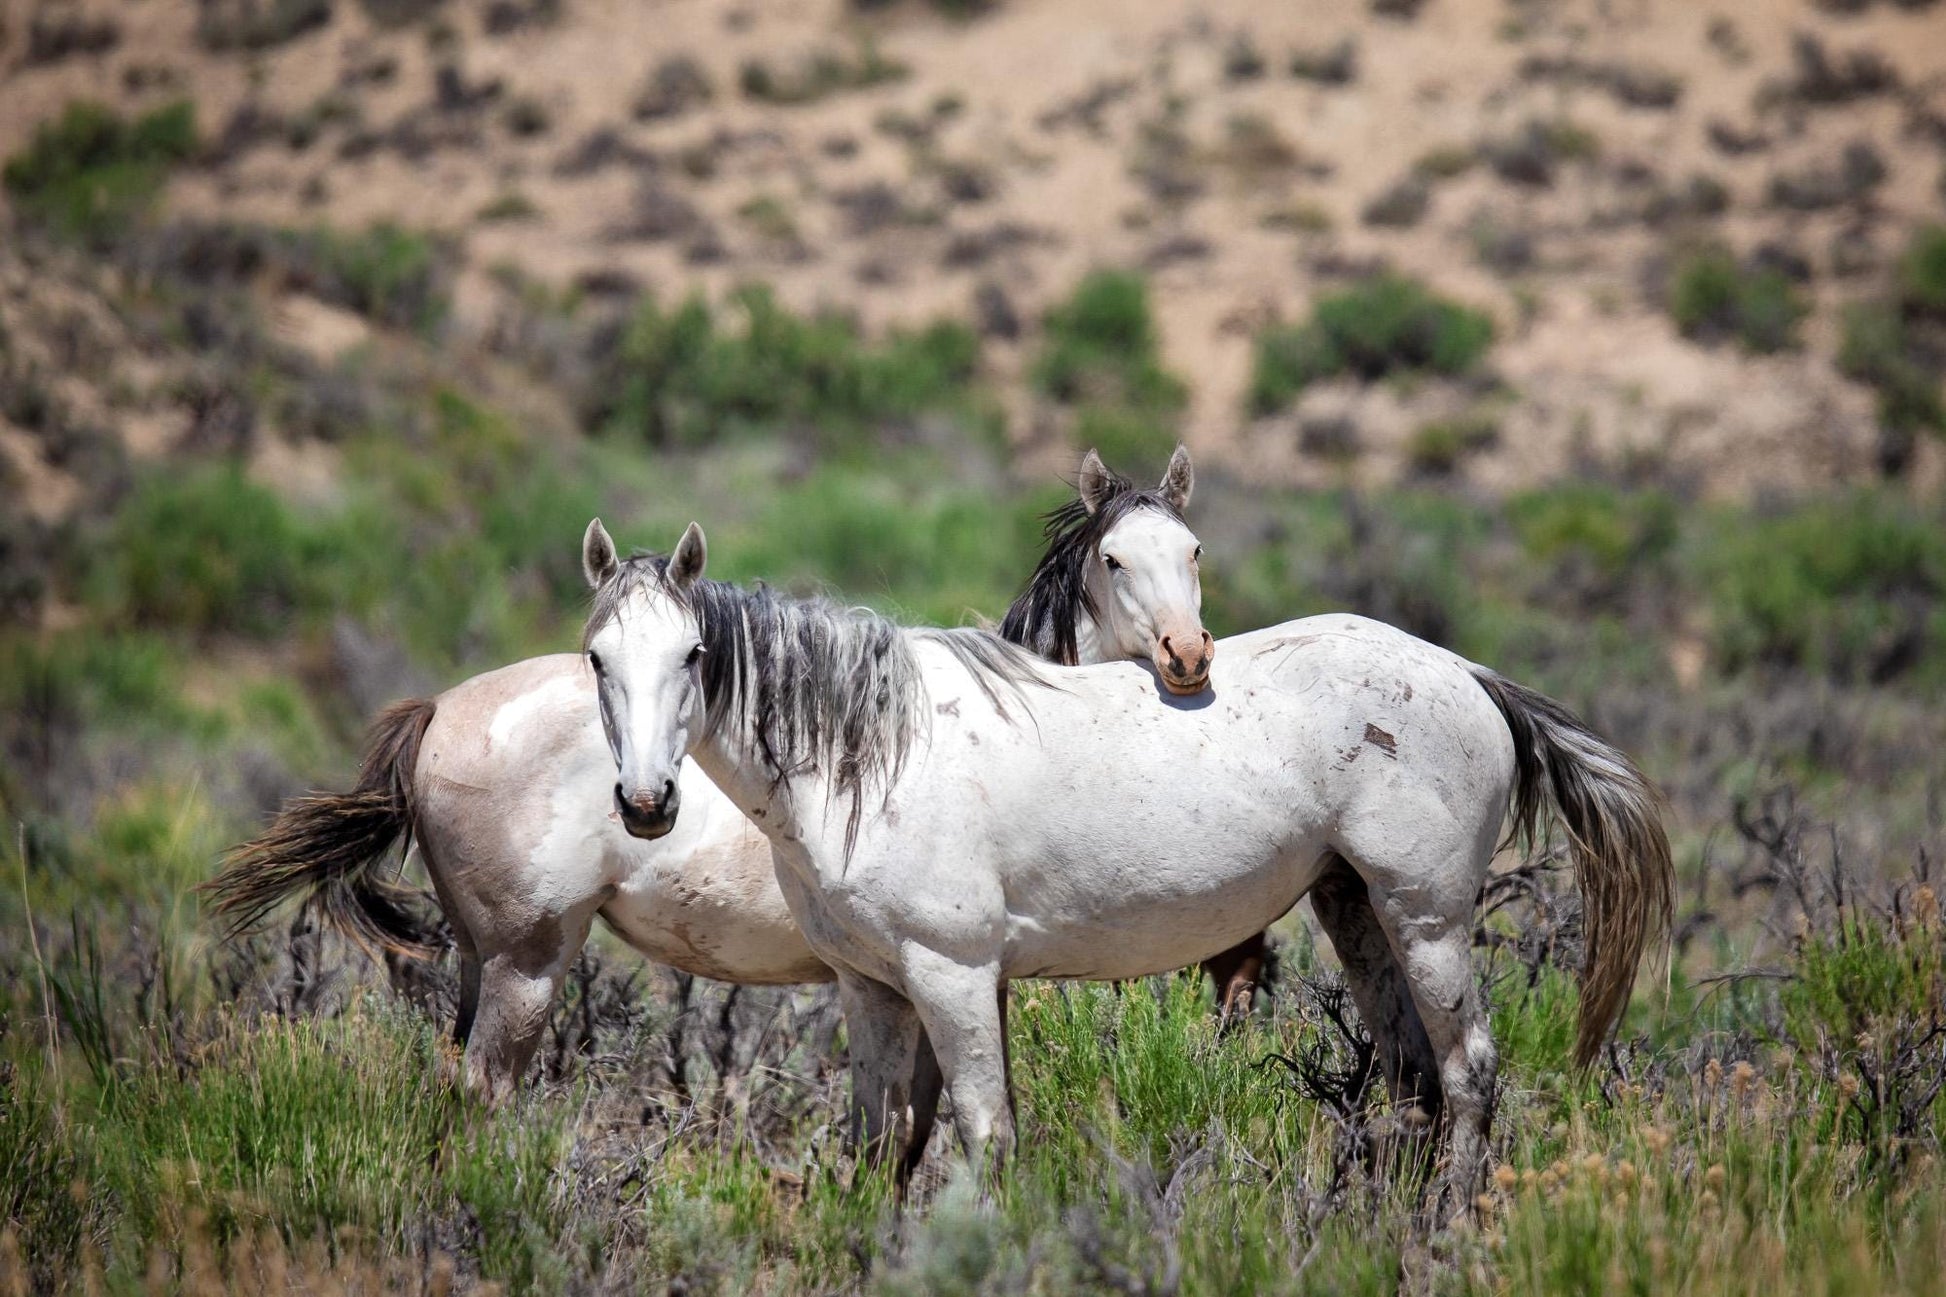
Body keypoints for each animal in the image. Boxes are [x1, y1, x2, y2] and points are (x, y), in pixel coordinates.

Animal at [579, 514, 1673, 1191]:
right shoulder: (873, 987)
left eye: (692, 655)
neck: (876, 753)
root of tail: (1467, 673)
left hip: (1429, 914)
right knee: (1415, 1080)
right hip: (1355, 908)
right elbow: (884, 1144)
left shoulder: (954, 975)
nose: (645, 802)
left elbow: (985, 1134)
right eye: (595, 658)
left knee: (1470, 1072)